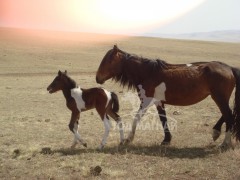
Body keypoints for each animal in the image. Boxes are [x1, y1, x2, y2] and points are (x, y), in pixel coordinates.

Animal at [95, 45, 240, 149]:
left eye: (108, 60)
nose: (97, 78)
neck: (148, 73)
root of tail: (229, 68)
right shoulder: (159, 101)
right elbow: (163, 118)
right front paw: (166, 139)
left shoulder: (146, 100)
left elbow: (137, 118)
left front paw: (128, 139)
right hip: (220, 98)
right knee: (229, 115)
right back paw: (216, 132)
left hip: (219, 98)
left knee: (229, 116)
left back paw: (224, 143)